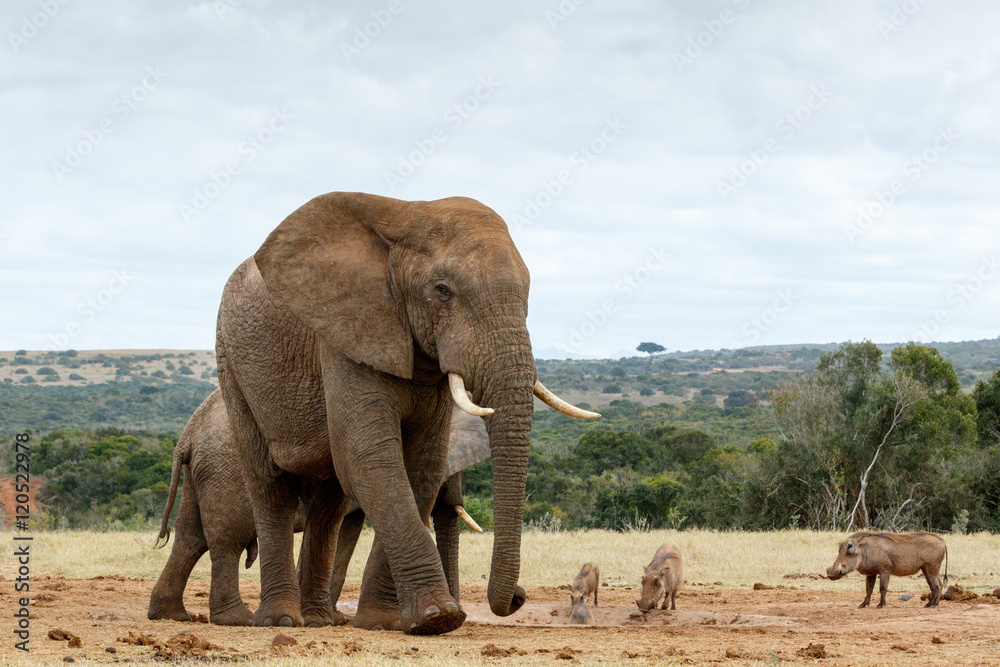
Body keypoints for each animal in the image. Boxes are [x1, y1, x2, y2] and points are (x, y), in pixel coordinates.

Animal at [148, 386, 488, 628]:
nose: (462, 613)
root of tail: (187, 434)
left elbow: (347, 531)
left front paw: (333, 619)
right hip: (226, 472)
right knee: (226, 541)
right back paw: (237, 619)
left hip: (203, 474)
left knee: (191, 538)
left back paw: (171, 615)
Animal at [217, 190, 592, 636]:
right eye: (443, 290)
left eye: (529, 293)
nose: (518, 597)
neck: (407, 215)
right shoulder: (348, 333)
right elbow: (372, 458)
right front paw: (439, 617)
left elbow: (420, 467)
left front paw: (387, 622)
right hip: (233, 365)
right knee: (269, 484)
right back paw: (282, 620)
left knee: (328, 503)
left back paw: (319, 620)